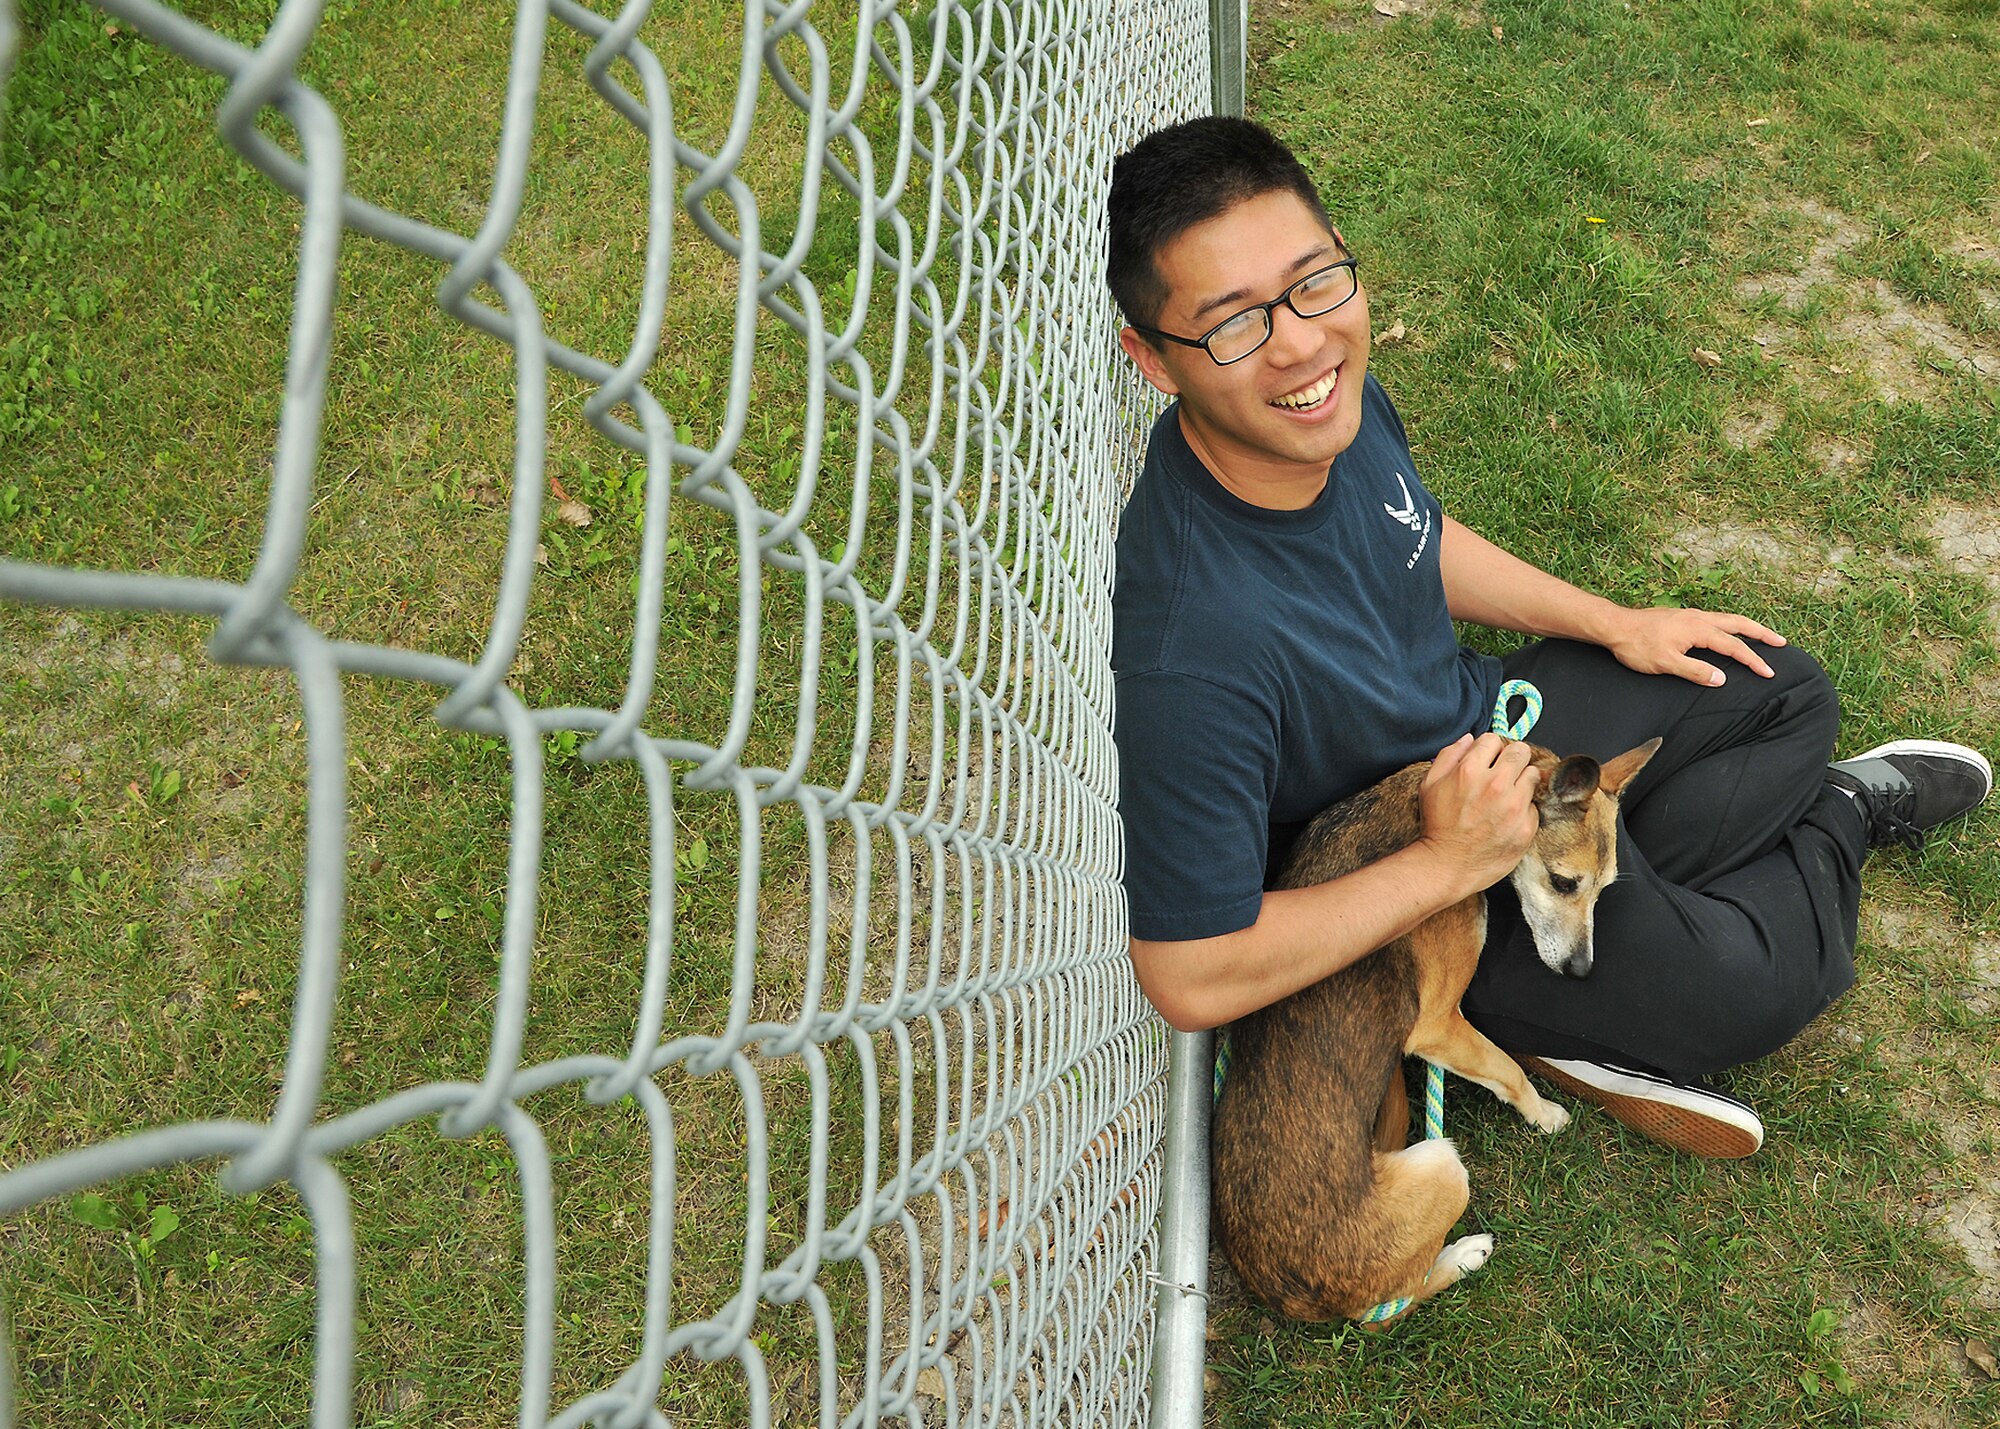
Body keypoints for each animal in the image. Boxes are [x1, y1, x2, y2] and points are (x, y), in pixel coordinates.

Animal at [1216, 740, 1656, 1320]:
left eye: (1602, 891)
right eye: (1564, 883)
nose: (1582, 972)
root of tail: (1309, 1303)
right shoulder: (1438, 1024)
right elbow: (1509, 1070)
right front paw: (1543, 1115)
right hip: (1442, 1165)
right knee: (1403, 1300)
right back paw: (1466, 1255)